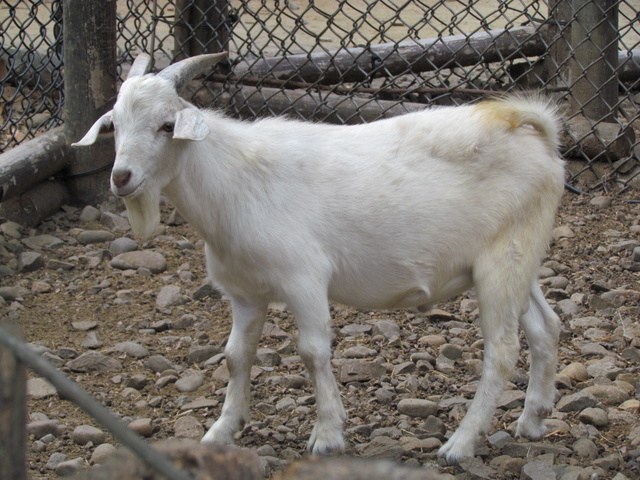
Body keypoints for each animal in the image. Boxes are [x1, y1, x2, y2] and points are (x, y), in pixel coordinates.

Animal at [75, 53, 564, 464]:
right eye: (114, 124)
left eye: (165, 125)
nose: (122, 177)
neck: (235, 180)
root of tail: (531, 130)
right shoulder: (245, 292)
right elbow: (236, 355)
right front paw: (221, 431)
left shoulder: (303, 279)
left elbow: (312, 352)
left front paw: (327, 435)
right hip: (521, 259)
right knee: (546, 326)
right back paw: (533, 419)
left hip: (501, 262)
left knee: (502, 351)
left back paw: (459, 445)